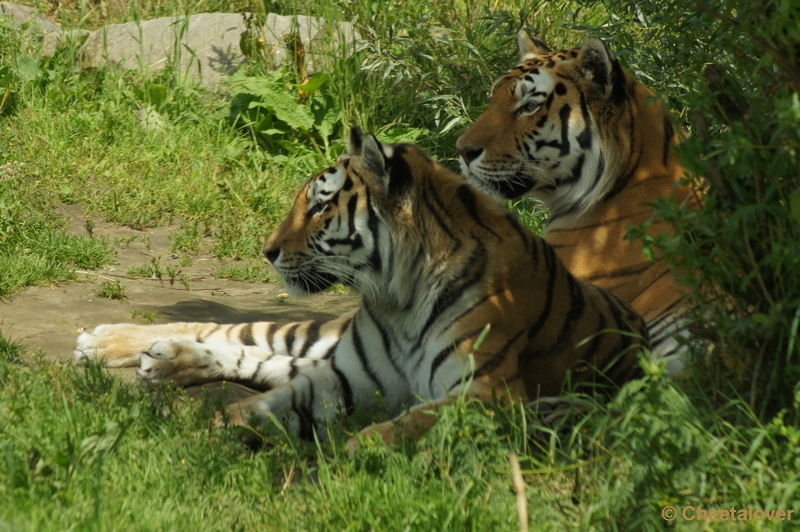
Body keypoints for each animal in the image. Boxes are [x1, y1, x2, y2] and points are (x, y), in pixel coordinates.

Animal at [75, 128, 648, 448]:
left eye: (320, 206)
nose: (267, 250)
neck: (402, 299)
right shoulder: (347, 376)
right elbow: (266, 403)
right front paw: (211, 433)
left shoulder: (486, 392)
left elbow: (405, 425)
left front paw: (359, 453)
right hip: (319, 337)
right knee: (236, 332)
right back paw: (114, 343)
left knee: (260, 355)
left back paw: (162, 360)